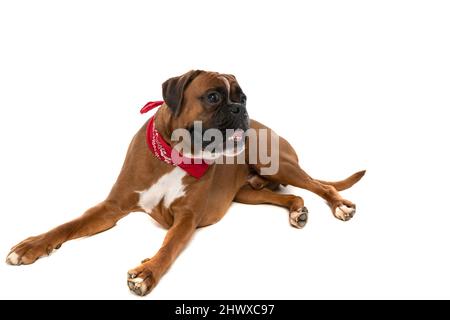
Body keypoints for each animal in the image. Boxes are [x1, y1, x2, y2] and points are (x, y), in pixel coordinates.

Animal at [5, 69, 364, 296]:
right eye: (214, 96)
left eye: (243, 97)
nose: (241, 108)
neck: (174, 156)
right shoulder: (111, 208)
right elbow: (68, 225)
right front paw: (31, 246)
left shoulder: (186, 218)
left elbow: (170, 246)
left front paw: (147, 272)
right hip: (247, 193)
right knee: (290, 197)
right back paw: (297, 212)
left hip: (278, 166)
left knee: (321, 186)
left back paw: (341, 207)